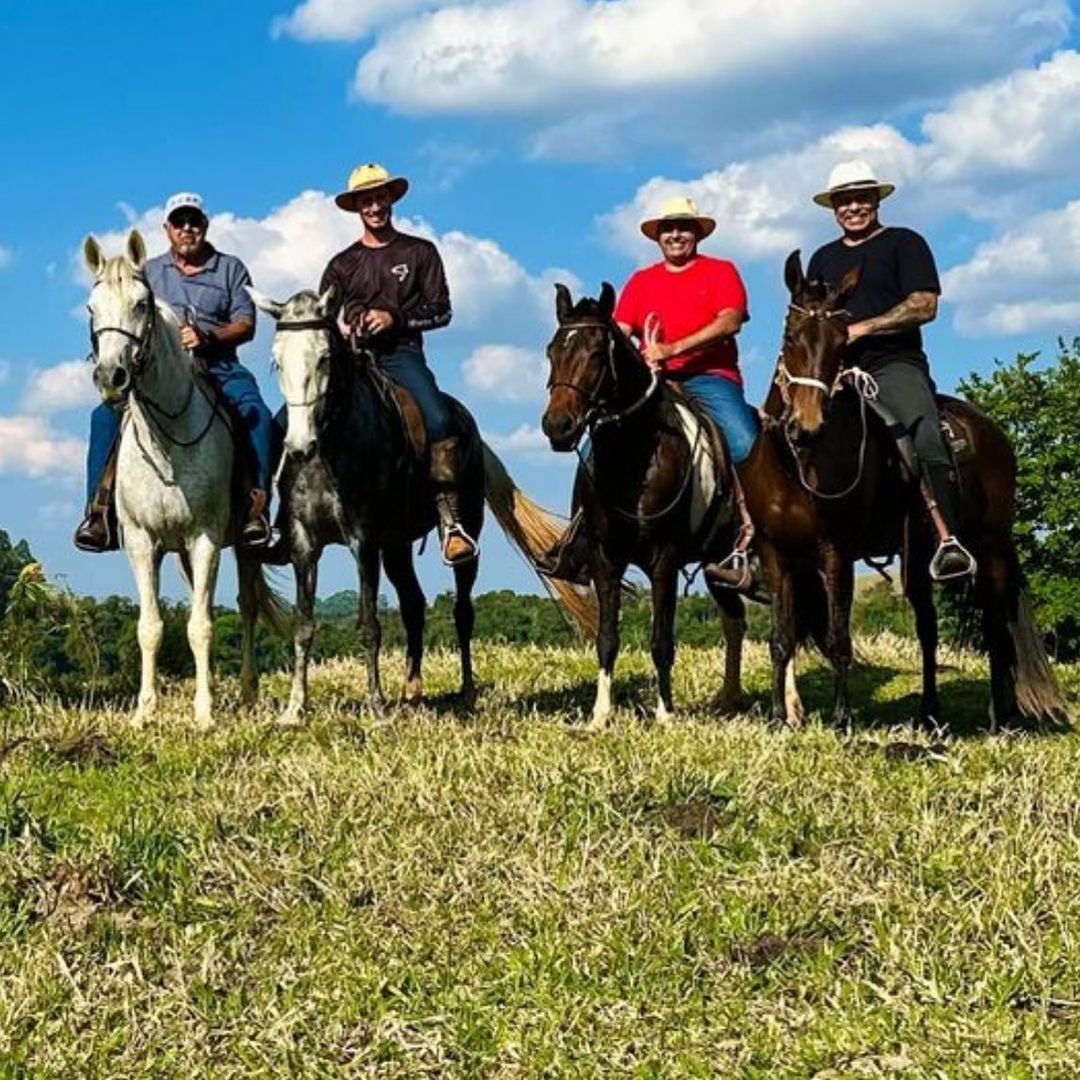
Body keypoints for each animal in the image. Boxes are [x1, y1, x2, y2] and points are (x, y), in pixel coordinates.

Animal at [84, 227, 285, 725]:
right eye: (91, 308)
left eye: (141, 303)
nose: (111, 378)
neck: (167, 438)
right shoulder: (142, 541)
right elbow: (152, 627)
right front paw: (143, 713)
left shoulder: (206, 536)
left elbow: (201, 626)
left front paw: (205, 714)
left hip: (242, 546)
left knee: (246, 607)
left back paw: (246, 692)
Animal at [250, 287, 600, 725]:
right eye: (276, 361)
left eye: (324, 357)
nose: (298, 447)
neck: (330, 449)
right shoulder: (304, 543)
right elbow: (303, 623)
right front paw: (295, 708)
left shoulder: (363, 540)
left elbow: (369, 625)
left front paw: (377, 709)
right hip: (396, 546)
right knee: (414, 605)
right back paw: (412, 692)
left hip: (463, 535)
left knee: (463, 612)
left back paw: (465, 693)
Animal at [540, 285, 751, 725]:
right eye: (551, 351)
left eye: (597, 354)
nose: (558, 427)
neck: (632, 458)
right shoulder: (604, 559)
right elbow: (607, 638)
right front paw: (600, 715)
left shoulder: (664, 561)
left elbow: (661, 641)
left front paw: (665, 713)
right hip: (716, 568)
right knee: (734, 621)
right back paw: (729, 698)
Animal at [747, 248, 1075, 730]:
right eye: (791, 335)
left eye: (840, 343)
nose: (807, 426)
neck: (796, 465)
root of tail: (991, 430)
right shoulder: (776, 554)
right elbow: (782, 637)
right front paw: (777, 719)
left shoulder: (835, 551)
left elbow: (840, 636)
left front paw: (842, 720)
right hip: (918, 554)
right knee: (928, 628)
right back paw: (930, 715)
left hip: (991, 546)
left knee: (996, 627)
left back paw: (1001, 719)